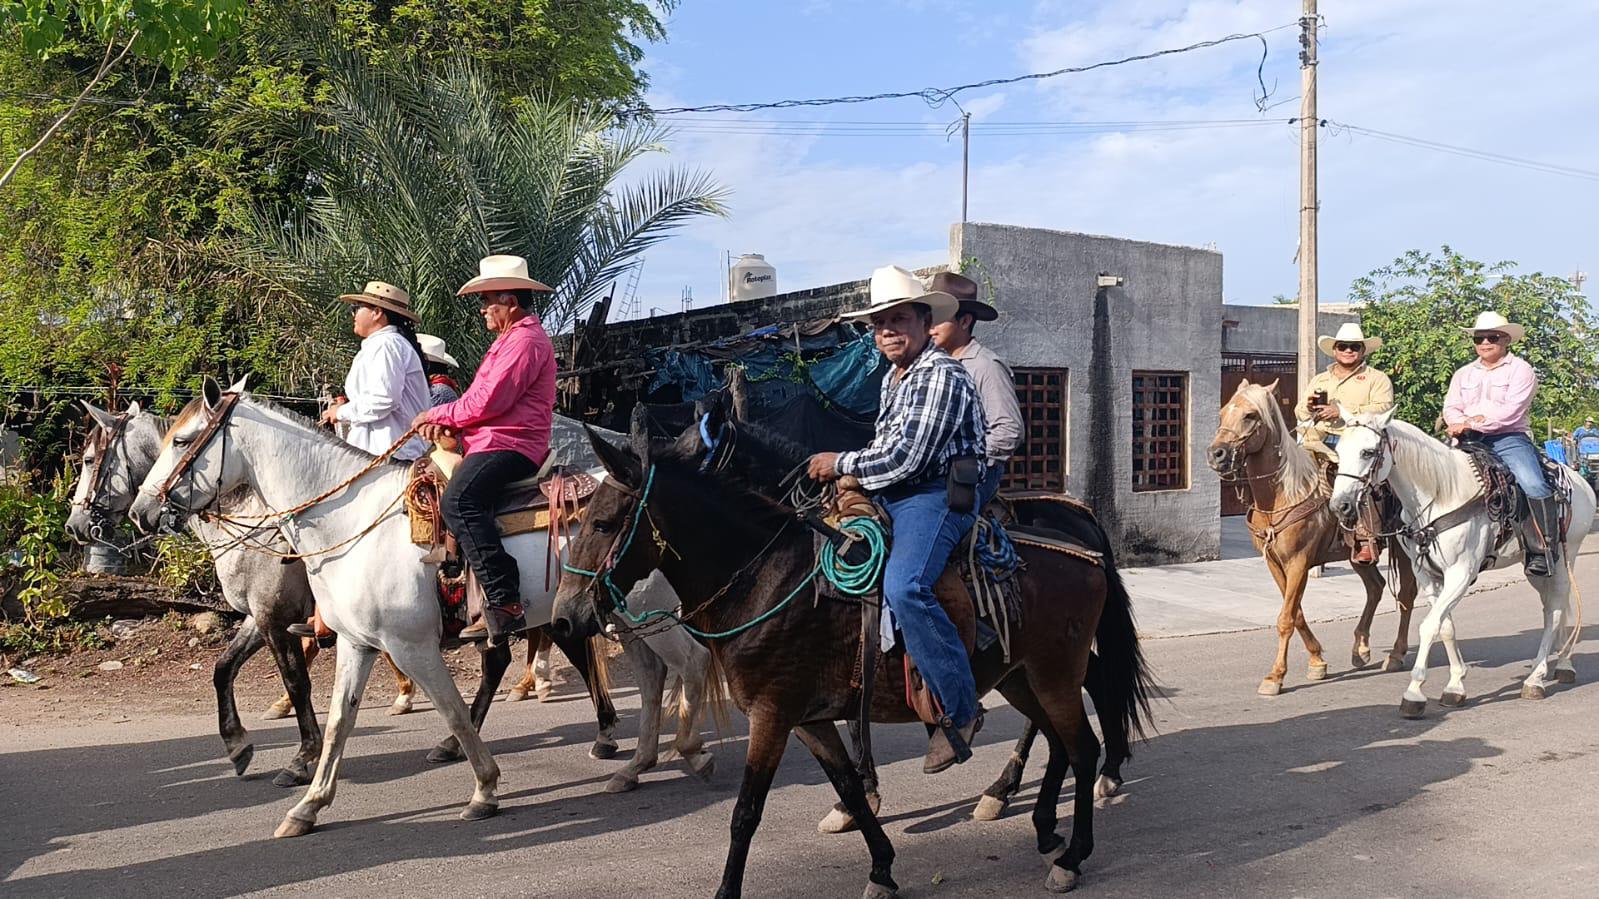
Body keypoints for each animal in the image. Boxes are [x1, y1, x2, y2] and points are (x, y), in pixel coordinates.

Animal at [127, 377, 716, 831]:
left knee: (691, 662)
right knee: (651, 675)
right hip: (619, 616)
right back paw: (634, 764)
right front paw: (308, 805)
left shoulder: (407, 645)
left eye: (182, 440)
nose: (140, 511)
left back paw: (686, 749)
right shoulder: (356, 644)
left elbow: (449, 709)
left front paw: (484, 790)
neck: (349, 522)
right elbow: (338, 721)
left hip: (651, 614)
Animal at [550, 422, 1151, 889]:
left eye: (602, 523)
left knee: (1082, 746)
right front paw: (881, 868)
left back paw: (1072, 852)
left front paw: (727, 888)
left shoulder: (772, 715)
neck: (766, 578)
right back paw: (1039, 821)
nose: (564, 618)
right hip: (1018, 677)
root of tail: (1084, 546)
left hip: (1054, 673)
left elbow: (746, 813)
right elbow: (849, 789)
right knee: (1057, 738)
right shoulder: (808, 720)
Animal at [1202, 379, 1419, 694]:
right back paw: (1360, 648)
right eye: (1223, 412)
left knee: (1405, 595)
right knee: (1375, 587)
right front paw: (1317, 661)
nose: (1216, 454)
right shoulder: (1275, 563)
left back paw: (1396, 654)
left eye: (1250, 415)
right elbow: (1297, 612)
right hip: (1358, 554)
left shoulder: (1299, 562)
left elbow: (1285, 617)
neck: (1282, 496)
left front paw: (1275, 676)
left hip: (1402, 547)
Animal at [1323, 412, 1599, 713]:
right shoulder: (1427, 576)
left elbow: (1429, 626)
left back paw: (1536, 678)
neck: (1440, 496)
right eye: (1339, 451)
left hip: (1563, 560)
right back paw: (1562, 663)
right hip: (1537, 570)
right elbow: (1445, 626)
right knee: (1552, 607)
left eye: (1368, 451)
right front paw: (1455, 685)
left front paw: (1414, 693)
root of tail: (1580, 482)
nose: (1340, 506)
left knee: (1556, 611)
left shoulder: (1460, 574)